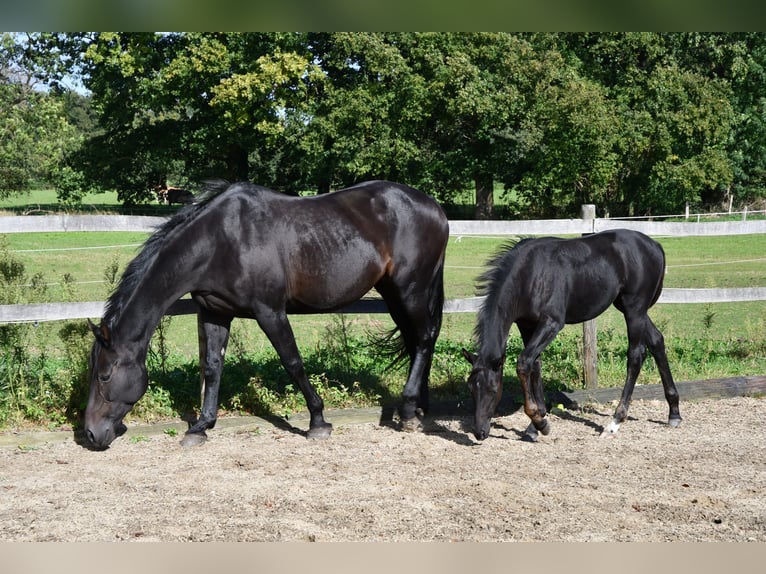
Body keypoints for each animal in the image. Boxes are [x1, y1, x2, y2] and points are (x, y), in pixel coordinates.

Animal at [462, 232, 684, 444]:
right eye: (471, 388)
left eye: (492, 390)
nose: (479, 432)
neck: (529, 275)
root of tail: (655, 245)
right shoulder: (527, 325)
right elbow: (535, 365)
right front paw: (537, 425)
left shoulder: (552, 323)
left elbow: (524, 362)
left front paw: (539, 422)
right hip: (629, 308)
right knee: (657, 341)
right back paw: (674, 413)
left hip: (634, 309)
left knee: (636, 355)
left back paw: (615, 421)